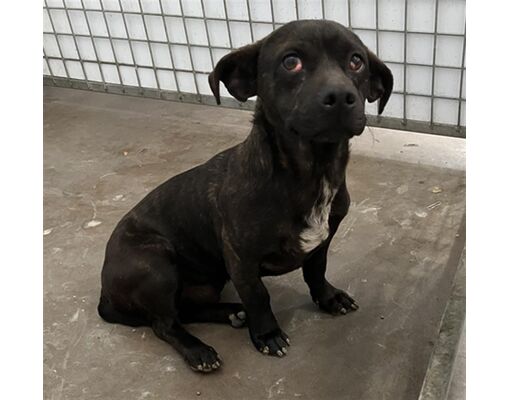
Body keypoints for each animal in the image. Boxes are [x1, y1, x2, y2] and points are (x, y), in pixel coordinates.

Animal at [97, 20, 392, 372]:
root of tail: (104, 292)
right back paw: (199, 351)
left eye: (356, 61)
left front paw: (328, 298)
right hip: (156, 263)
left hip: (205, 281)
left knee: (183, 310)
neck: (311, 172)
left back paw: (231, 313)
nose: (341, 96)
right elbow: (258, 295)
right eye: (291, 61)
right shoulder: (240, 258)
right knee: (164, 323)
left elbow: (316, 272)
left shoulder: (322, 242)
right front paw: (267, 334)